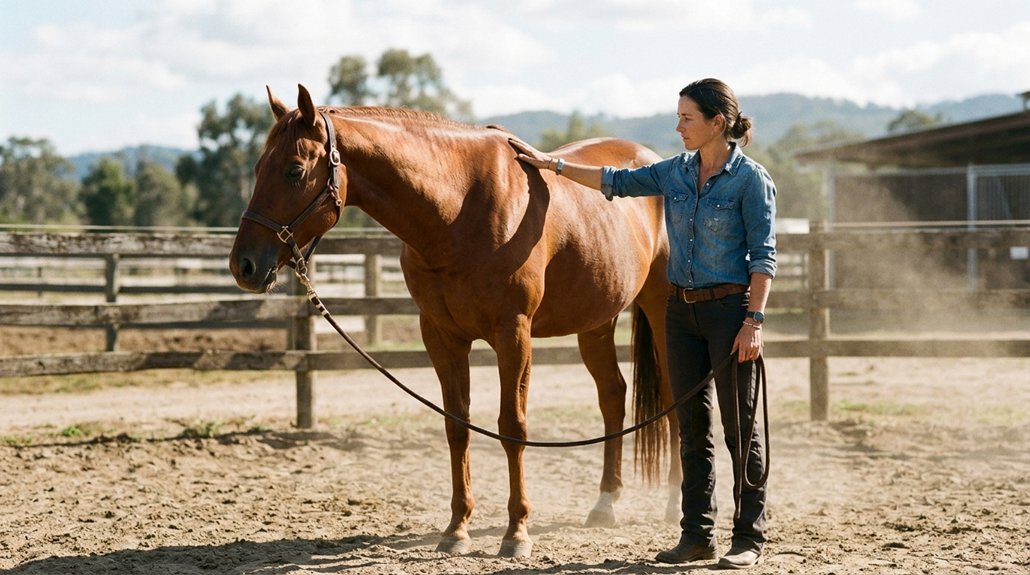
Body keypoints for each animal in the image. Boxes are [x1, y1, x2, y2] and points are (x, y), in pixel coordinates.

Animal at [229, 84, 678, 558]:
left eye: (294, 171)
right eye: (258, 167)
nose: (243, 265)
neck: (459, 209)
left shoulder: (514, 334)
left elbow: (511, 425)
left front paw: (516, 532)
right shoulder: (441, 336)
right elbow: (456, 425)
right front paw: (457, 528)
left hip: (660, 307)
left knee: (674, 394)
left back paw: (673, 502)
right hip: (596, 321)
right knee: (612, 396)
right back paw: (605, 503)